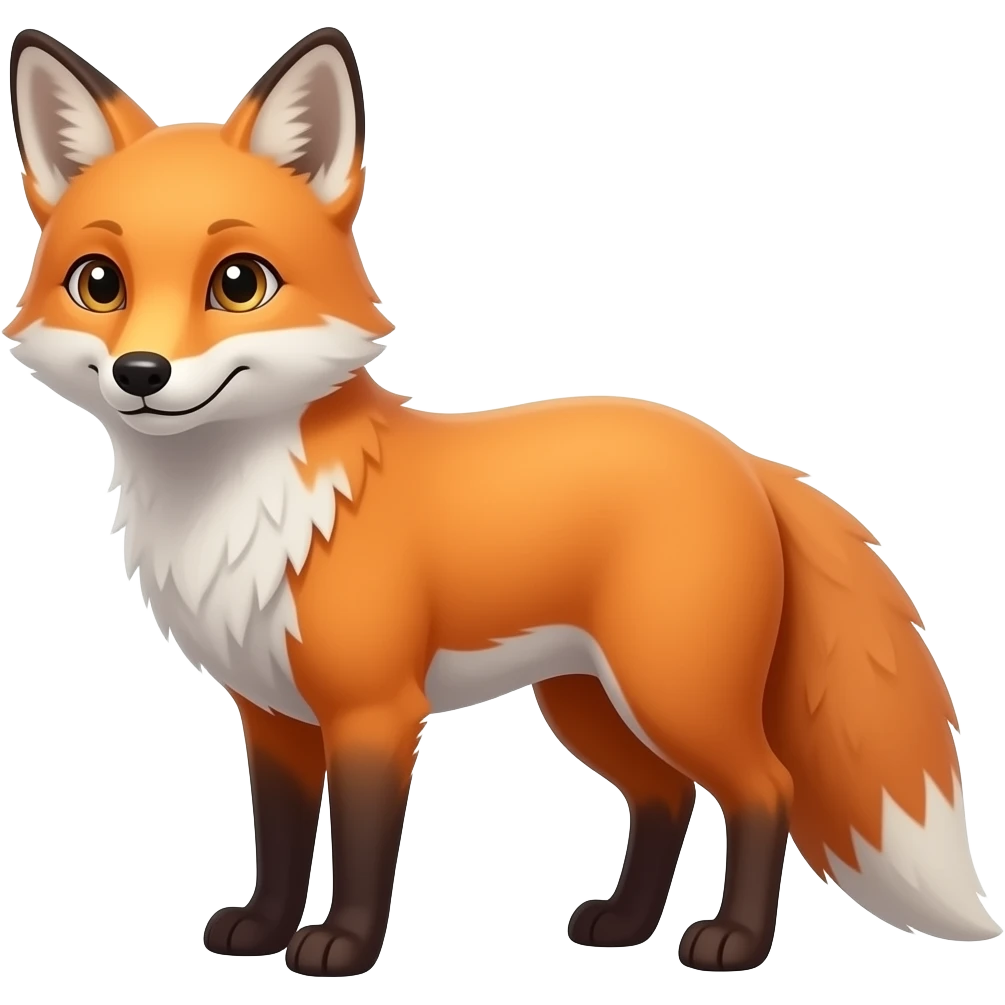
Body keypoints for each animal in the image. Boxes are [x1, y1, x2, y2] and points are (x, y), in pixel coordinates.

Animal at [6, 26, 1000, 977]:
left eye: (238, 282)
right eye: (100, 283)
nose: (142, 373)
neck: (241, 506)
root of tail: (739, 455)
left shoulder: (375, 710)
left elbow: (362, 847)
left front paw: (342, 949)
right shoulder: (273, 715)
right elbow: (281, 841)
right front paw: (260, 929)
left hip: (673, 691)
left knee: (765, 788)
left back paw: (734, 942)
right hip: (588, 701)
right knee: (664, 795)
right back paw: (623, 924)